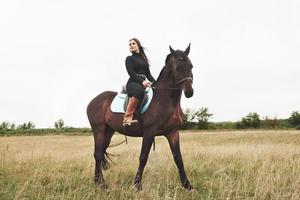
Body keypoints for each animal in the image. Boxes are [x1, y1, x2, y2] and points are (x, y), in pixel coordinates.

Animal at [86, 44, 195, 191]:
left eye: (191, 66)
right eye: (177, 67)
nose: (189, 92)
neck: (165, 99)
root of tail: (93, 101)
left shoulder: (173, 132)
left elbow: (178, 159)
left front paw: (188, 185)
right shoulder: (149, 132)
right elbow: (143, 158)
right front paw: (136, 185)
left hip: (108, 132)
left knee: (100, 152)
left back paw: (97, 181)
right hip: (98, 129)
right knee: (97, 154)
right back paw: (102, 184)